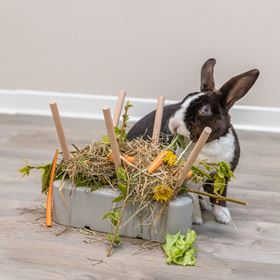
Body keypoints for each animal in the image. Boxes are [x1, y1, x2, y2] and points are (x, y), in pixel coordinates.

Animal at [128, 59, 260, 225]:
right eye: (184, 100)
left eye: (205, 110)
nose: (174, 124)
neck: (206, 145)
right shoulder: (187, 180)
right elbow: (193, 198)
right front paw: (196, 219)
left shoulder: (221, 176)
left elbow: (219, 195)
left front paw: (224, 217)